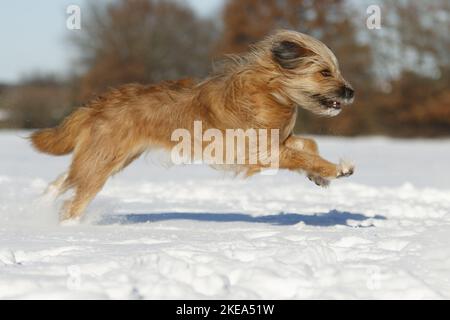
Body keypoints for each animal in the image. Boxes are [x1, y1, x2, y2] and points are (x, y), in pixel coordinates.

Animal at [30, 30, 356, 221]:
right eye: (325, 72)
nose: (351, 92)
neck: (270, 90)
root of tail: (96, 105)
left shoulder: (277, 141)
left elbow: (308, 144)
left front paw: (319, 177)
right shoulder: (259, 151)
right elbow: (302, 155)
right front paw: (335, 170)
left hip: (111, 158)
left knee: (65, 180)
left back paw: (41, 204)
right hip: (103, 161)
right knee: (73, 200)